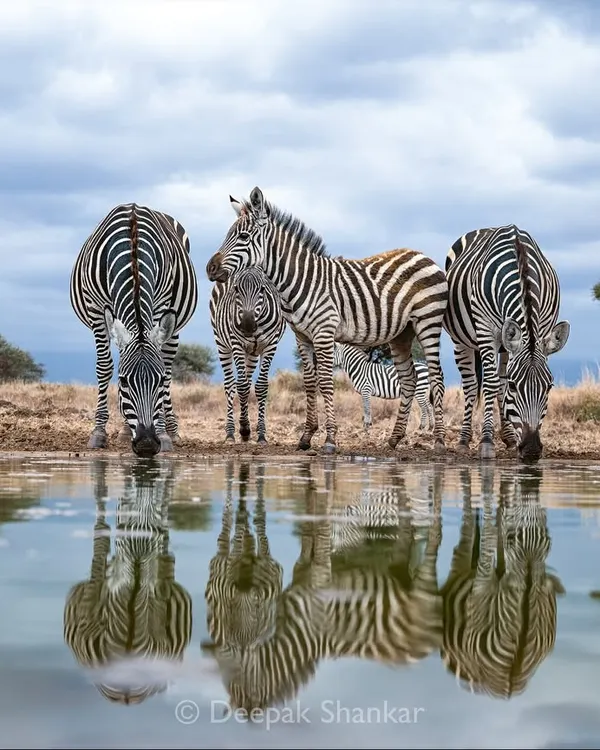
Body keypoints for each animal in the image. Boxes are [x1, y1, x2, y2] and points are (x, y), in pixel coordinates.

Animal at [70, 203, 198, 457]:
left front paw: (163, 433)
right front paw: (98, 432)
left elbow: (165, 370)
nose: (147, 443)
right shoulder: (96, 309)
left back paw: (171, 430)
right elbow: (104, 366)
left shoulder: (161, 302)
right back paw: (123, 430)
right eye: (123, 382)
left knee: (169, 363)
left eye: (158, 381)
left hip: (174, 324)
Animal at [209, 266, 286, 445]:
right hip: (222, 343)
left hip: (252, 353)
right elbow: (242, 386)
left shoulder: (270, 345)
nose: (247, 325)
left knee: (247, 378)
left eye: (262, 289)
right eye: (236, 289)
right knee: (230, 384)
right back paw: (230, 433)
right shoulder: (237, 343)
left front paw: (261, 434)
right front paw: (244, 428)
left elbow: (261, 386)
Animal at [441, 465, 565, 699]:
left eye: (548, 541)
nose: (530, 489)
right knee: (470, 527)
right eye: (512, 538)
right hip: (460, 568)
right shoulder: (481, 584)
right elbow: (489, 534)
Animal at [443, 224, 570, 462]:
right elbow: (491, 384)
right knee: (472, 385)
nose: (531, 450)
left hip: (505, 344)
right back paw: (464, 440)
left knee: (499, 378)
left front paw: (506, 437)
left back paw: (509, 437)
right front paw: (486, 442)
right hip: (461, 340)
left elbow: (500, 384)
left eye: (549, 386)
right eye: (514, 386)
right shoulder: (486, 330)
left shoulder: (543, 327)